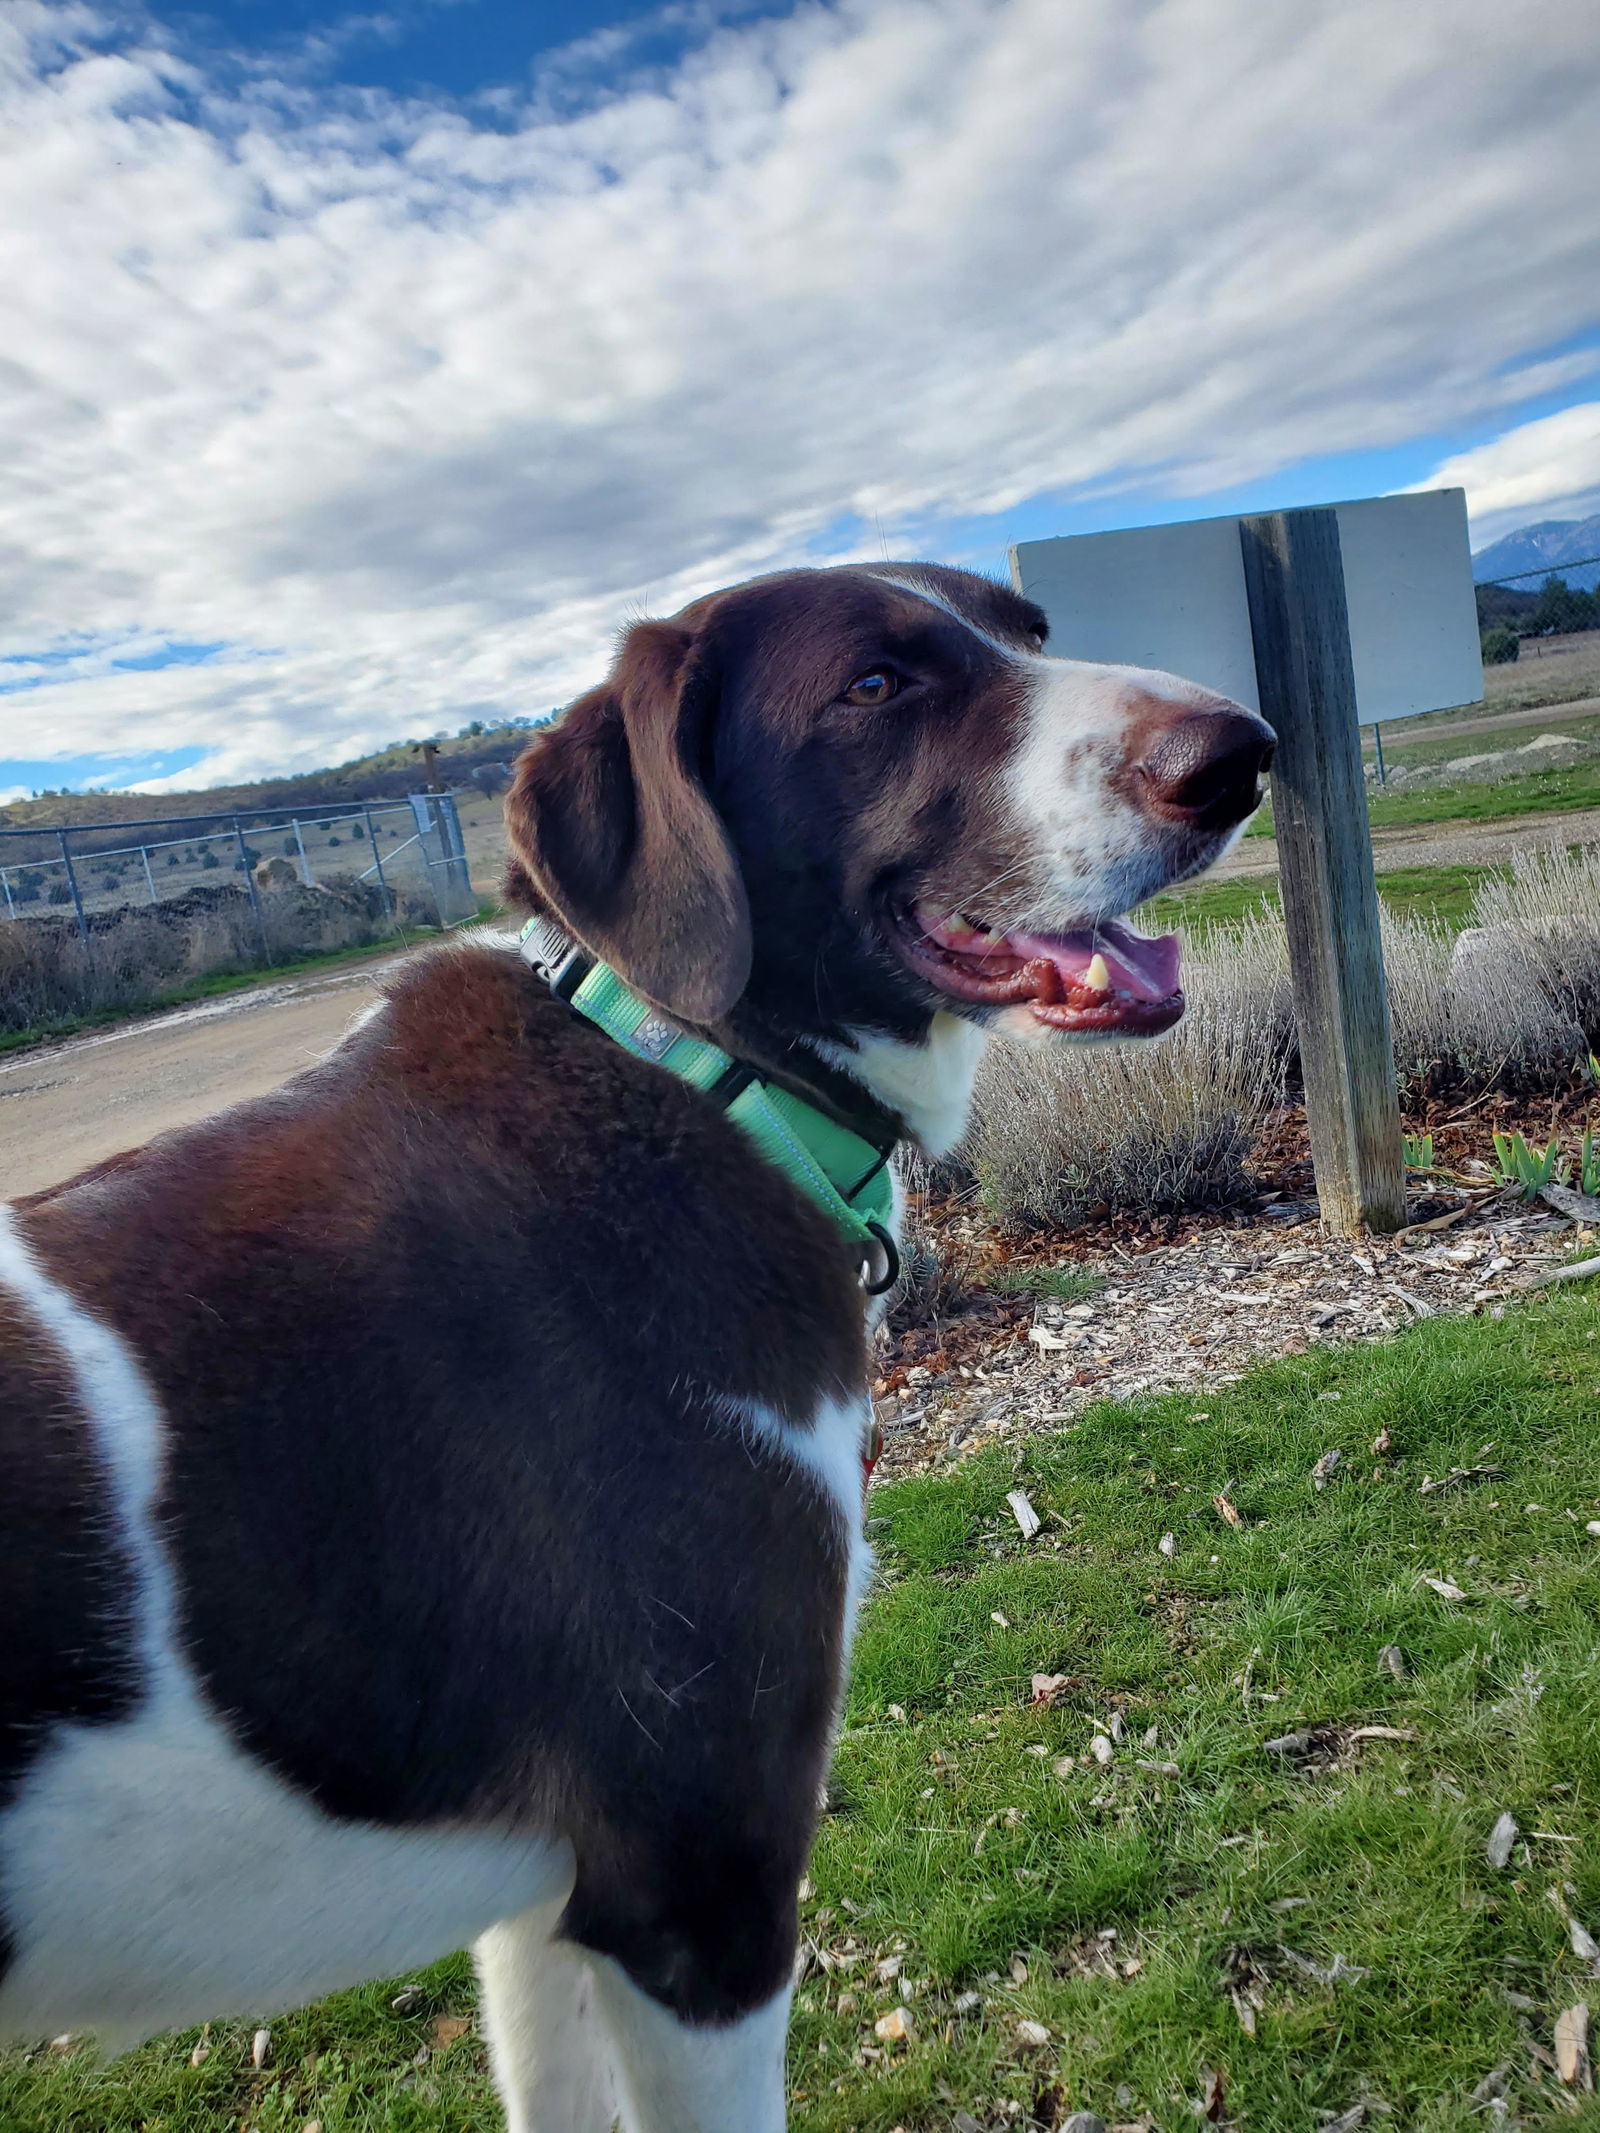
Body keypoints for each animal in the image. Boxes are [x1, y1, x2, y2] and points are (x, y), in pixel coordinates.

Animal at [0, 567, 1280, 2133]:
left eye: (1028, 631)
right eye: (872, 686)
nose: (1239, 754)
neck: (703, 1079)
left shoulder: (546, 1914)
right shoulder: (698, 1892)